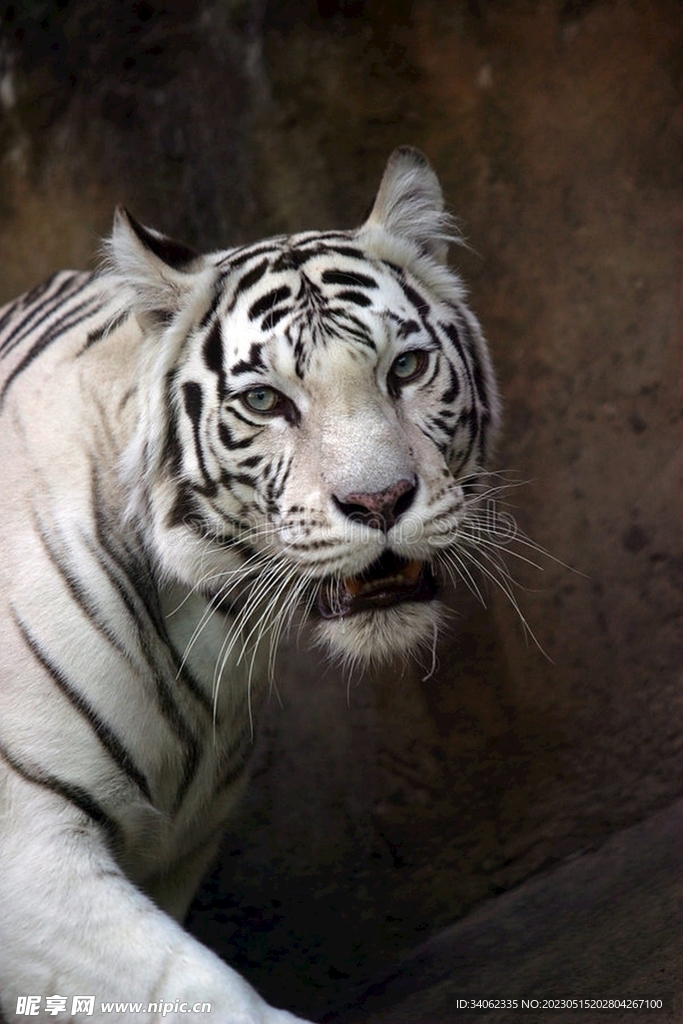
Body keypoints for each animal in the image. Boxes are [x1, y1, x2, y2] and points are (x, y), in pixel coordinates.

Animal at [0, 147, 499, 1023]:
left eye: (404, 367)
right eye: (265, 401)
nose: (379, 501)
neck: (204, 619)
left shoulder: (176, 849)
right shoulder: (25, 845)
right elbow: (194, 989)